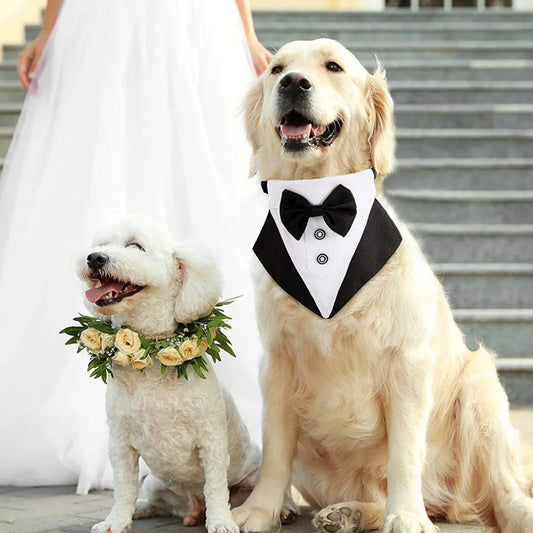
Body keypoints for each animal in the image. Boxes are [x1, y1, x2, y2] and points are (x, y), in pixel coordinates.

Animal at [78, 214, 260, 532]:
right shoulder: (120, 442)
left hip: (254, 474)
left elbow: (216, 487)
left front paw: (221, 522)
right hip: (154, 482)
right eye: (100, 245)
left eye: (136, 246)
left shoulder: (212, 441)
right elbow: (123, 488)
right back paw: (145, 509)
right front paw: (116, 520)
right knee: (154, 500)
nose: (94, 258)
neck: (151, 353)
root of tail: (191, 505)